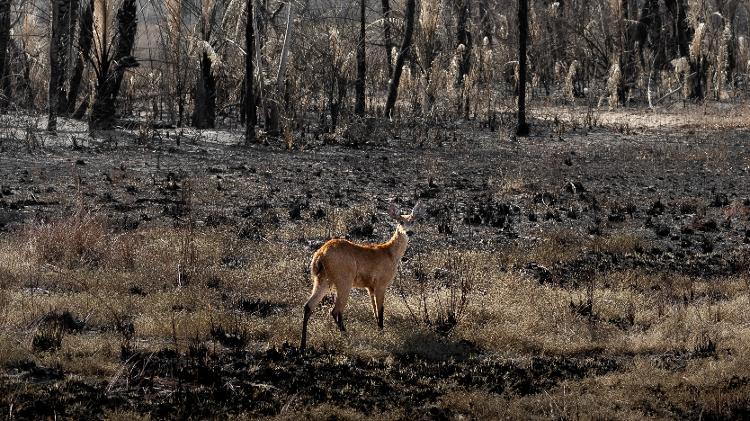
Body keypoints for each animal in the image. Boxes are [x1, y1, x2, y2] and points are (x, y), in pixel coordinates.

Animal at [302, 202, 426, 350]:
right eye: (401, 221)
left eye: (412, 221)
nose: (409, 232)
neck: (390, 254)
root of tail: (320, 254)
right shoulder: (381, 283)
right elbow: (381, 309)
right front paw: (382, 333)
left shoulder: (369, 287)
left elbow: (374, 311)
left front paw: (378, 330)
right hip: (344, 279)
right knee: (335, 310)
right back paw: (347, 337)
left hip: (322, 279)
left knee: (308, 306)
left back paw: (303, 345)